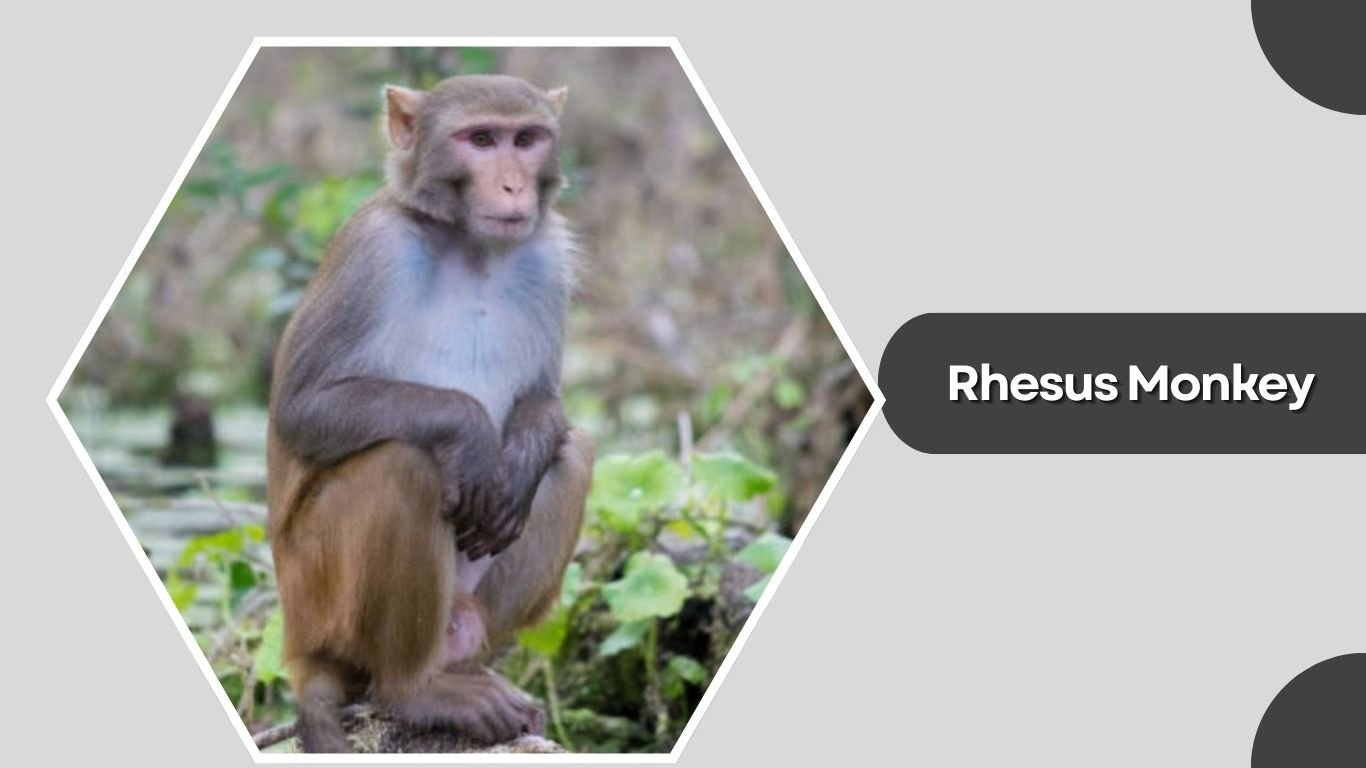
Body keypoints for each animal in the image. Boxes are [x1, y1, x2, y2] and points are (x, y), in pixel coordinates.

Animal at [265, 74, 594, 753]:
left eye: (526, 139)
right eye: (481, 140)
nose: (513, 186)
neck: (471, 246)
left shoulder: (548, 256)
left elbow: (546, 400)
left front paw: (521, 452)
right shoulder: (374, 252)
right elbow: (302, 408)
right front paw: (469, 430)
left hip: (461, 607)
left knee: (574, 453)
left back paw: (462, 664)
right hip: (316, 592)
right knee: (401, 466)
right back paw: (414, 689)